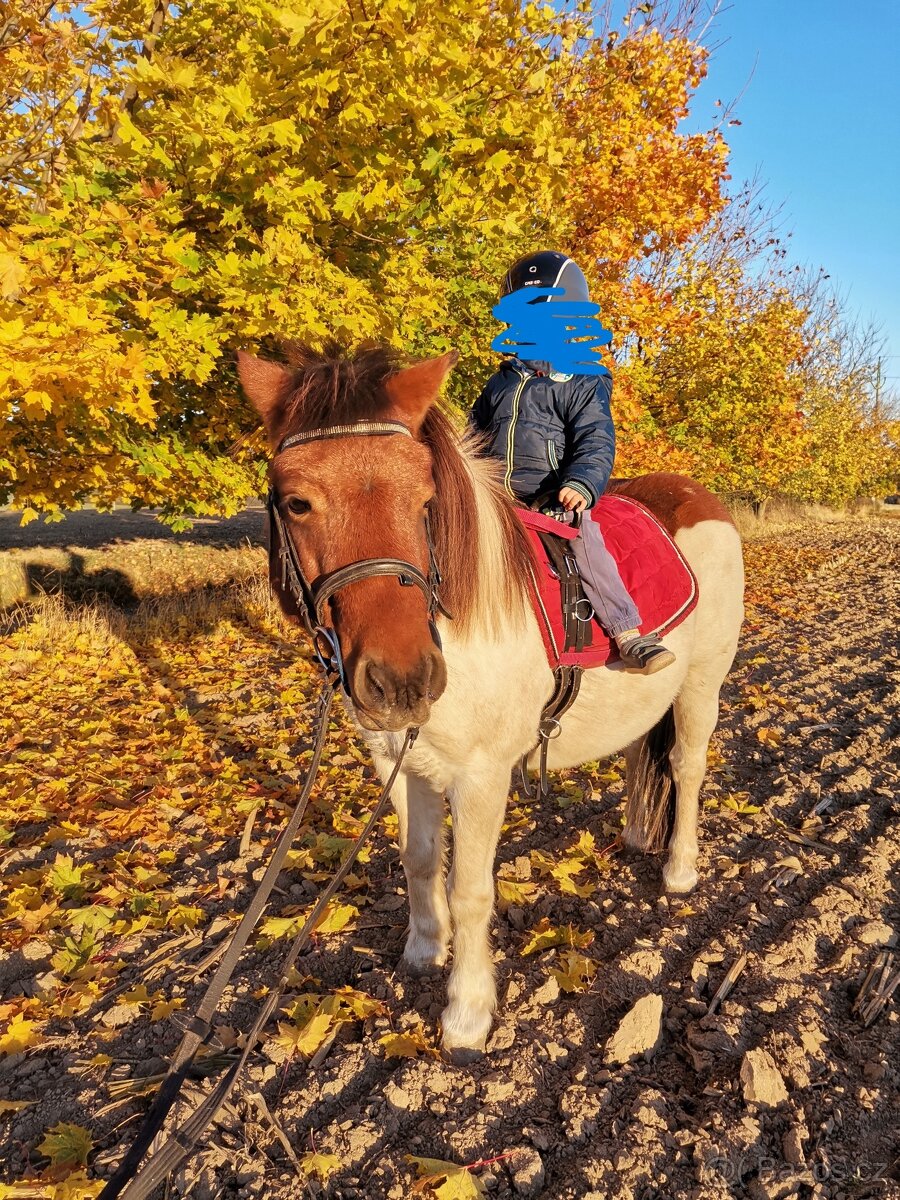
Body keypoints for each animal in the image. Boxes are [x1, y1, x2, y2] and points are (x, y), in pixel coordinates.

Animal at [240, 340, 748, 1060]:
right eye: (296, 501)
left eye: (424, 495)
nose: (401, 679)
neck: (457, 626)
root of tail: (695, 495)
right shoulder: (401, 759)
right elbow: (419, 859)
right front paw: (424, 951)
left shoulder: (481, 777)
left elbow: (471, 889)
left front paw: (466, 1014)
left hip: (703, 684)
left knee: (686, 768)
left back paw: (679, 869)